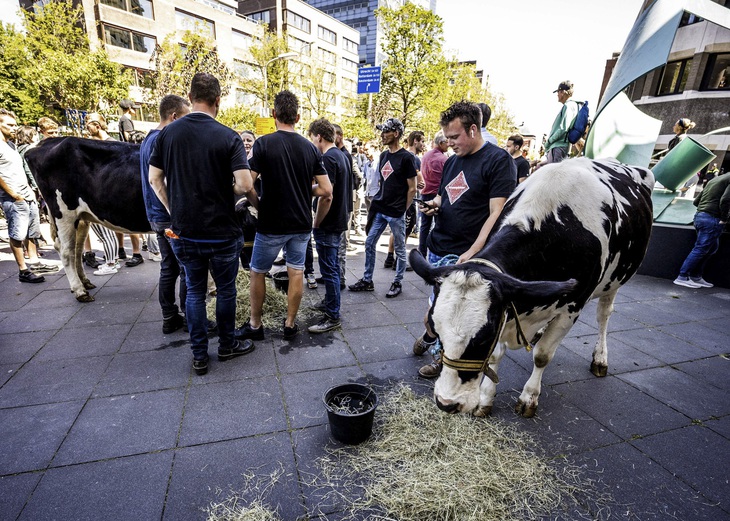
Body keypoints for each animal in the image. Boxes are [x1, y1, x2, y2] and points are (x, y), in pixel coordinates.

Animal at [24, 136, 149, 302]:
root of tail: (45, 141)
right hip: (64, 214)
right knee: (66, 251)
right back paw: (80, 291)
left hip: (81, 218)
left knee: (76, 250)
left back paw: (85, 282)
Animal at [410, 155, 656, 418]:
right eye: (437, 333)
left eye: (482, 339)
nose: (446, 403)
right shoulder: (508, 307)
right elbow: (497, 356)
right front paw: (486, 399)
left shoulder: (572, 307)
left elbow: (542, 356)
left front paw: (528, 398)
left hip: (615, 281)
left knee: (603, 315)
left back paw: (600, 359)